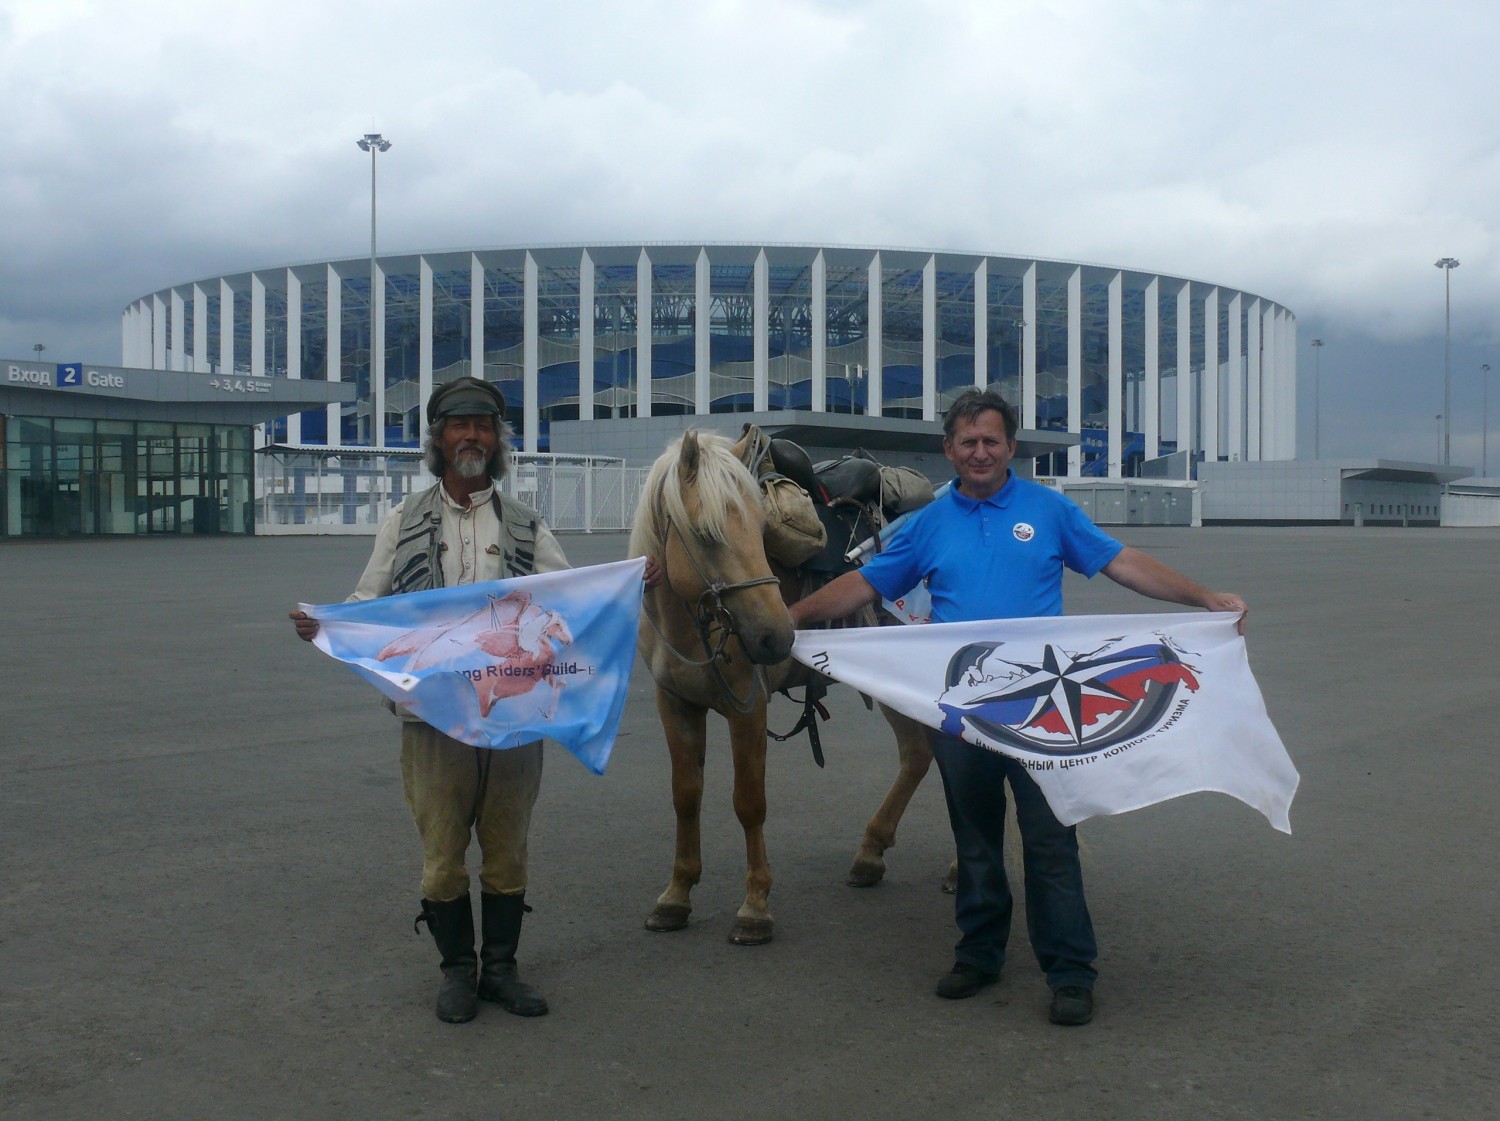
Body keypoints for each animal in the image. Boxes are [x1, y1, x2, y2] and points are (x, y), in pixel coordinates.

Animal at [630, 429, 936, 948]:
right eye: (707, 534)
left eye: (762, 527)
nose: (776, 637)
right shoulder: (675, 704)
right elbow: (685, 796)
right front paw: (676, 896)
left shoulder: (748, 709)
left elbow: (749, 802)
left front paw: (755, 907)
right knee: (917, 754)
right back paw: (870, 853)